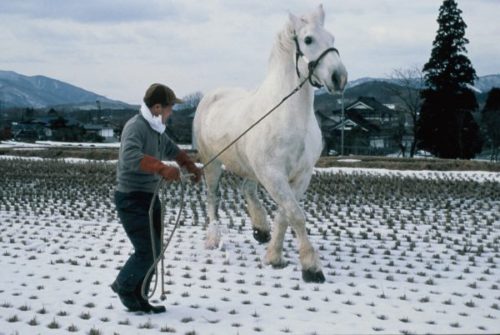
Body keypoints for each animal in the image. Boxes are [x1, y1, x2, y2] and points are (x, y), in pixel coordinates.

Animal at [193, 5, 346, 284]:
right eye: (308, 39)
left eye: (332, 37)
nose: (339, 77)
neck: (289, 115)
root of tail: (211, 95)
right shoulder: (273, 174)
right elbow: (295, 214)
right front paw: (311, 268)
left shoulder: (301, 175)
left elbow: (285, 215)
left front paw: (274, 256)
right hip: (212, 164)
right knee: (212, 198)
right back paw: (213, 238)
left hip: (250, 168)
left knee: (247, 189)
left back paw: (260, 229)